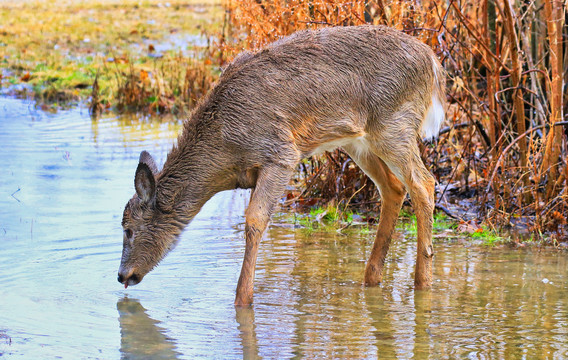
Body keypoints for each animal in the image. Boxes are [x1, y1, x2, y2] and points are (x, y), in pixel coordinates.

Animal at [117, 25, 446, 306]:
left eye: (129, 230)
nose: (122, 275)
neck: (225, 150)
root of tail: (432, 61)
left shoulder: (280, 153)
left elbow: (254, 221)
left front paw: (242, 300)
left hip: (394, 125)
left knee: (424, 183)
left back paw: (423, 284)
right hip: (358, 141)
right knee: (393, 187)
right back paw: (371, 279)